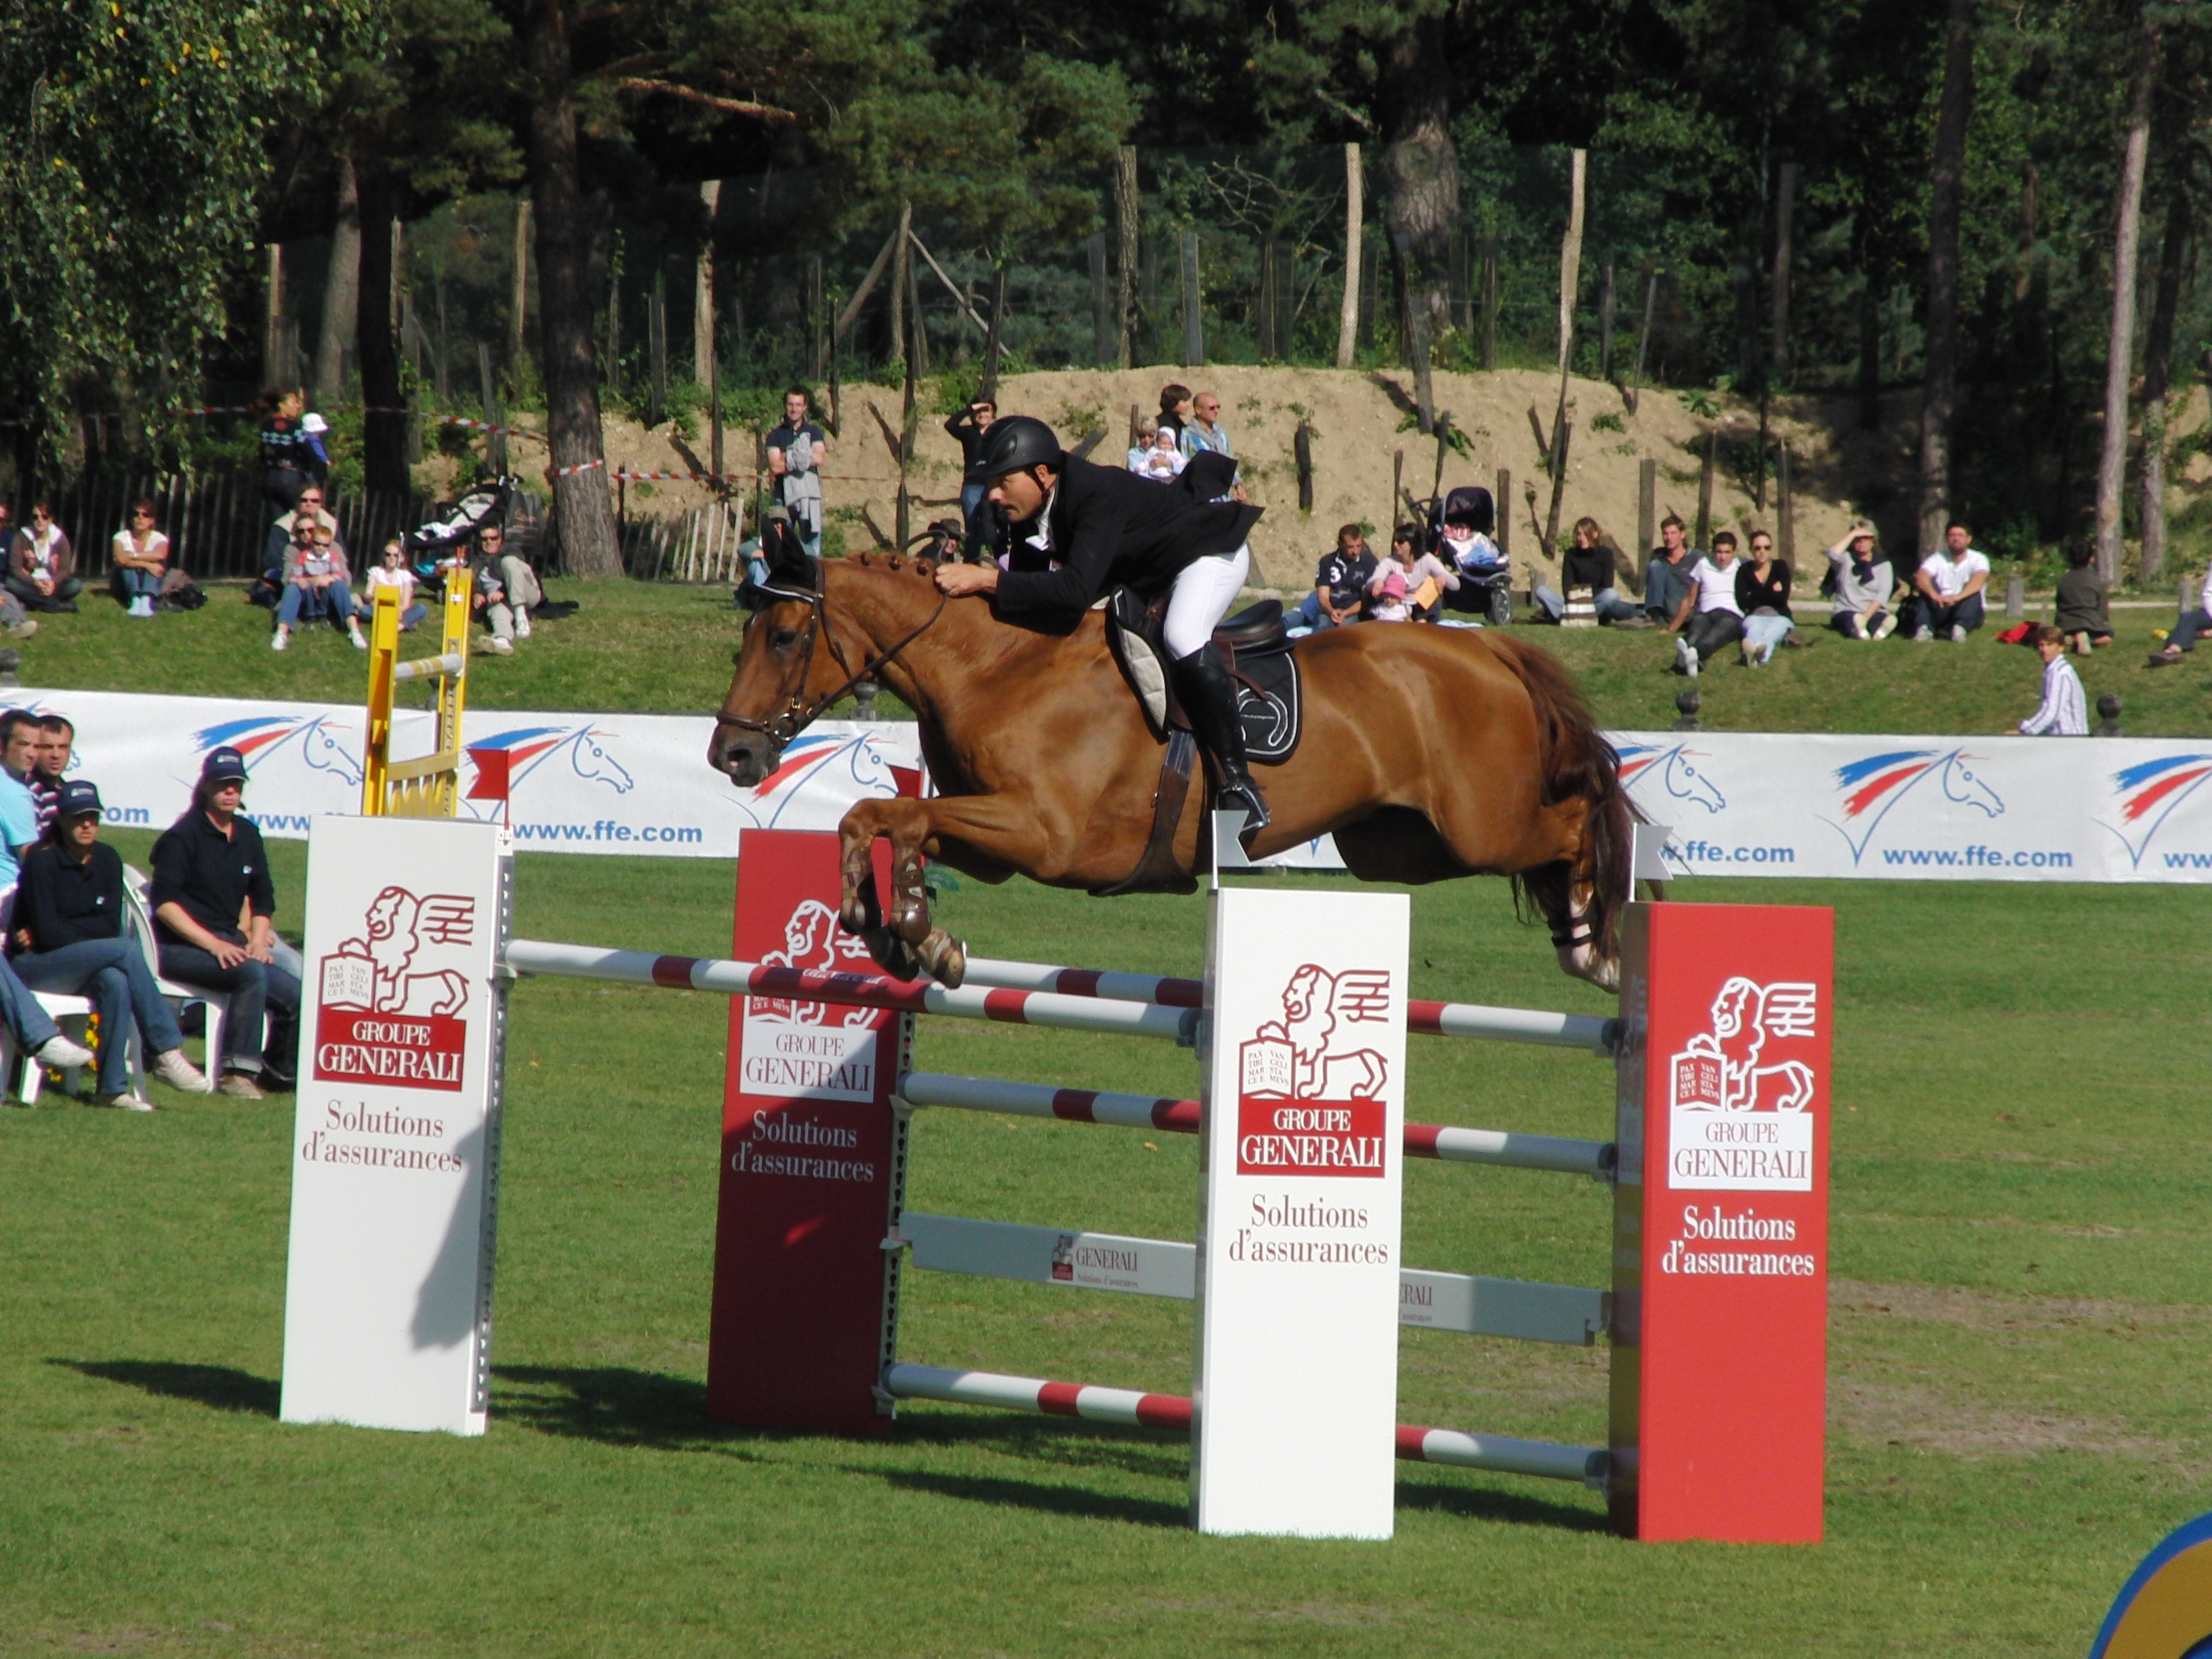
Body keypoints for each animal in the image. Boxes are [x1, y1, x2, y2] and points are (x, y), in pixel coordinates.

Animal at [712, 559, 1645, 995]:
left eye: (786, 637)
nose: (733, 756)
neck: (999, 667)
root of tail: (1486, 647)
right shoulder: (995, 839)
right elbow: (876, 817)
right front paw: (896, 928)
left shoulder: (1044, 836)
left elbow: (895, 818)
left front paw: (910, 922)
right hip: (1399, 847)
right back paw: (1580, 936)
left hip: (1481, 824)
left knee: (1579, 819)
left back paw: (1601, 946)